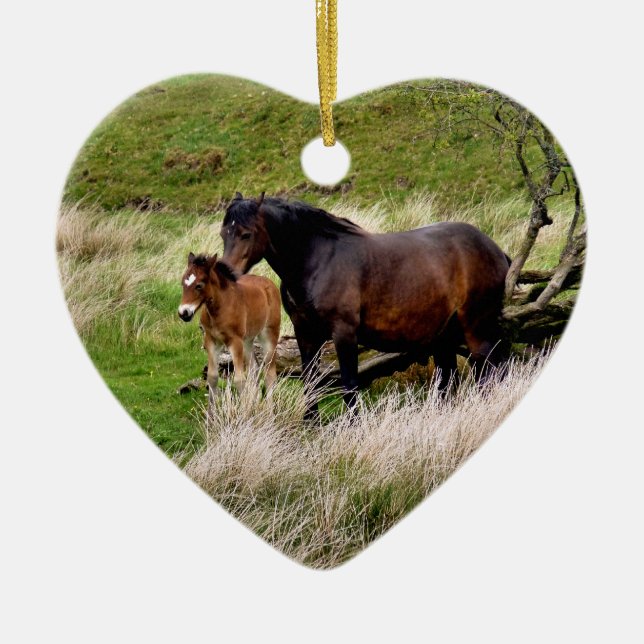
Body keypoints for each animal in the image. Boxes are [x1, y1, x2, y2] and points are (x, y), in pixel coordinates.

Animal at [178, 252, 281, 403]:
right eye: (183, 283)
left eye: (199, 285)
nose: (183, 313)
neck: (220, 308)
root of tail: (269, 283)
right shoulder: (211, 340)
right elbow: (212, 377)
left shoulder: (235, 341)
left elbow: (239, 380)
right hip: (247, 340)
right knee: (254, 369)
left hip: (269, 334)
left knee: (270, 373)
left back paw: (269, 407)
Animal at [220, 192, 510, 417]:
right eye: (224, 233)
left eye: (246, 234)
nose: (226, 271)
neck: (319, 261)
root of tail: (495, 250)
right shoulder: (306, 334)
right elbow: (311, 382)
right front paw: (311, 425)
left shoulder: (344, 333)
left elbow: (349, 383)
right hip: (445, 337)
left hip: (476, 330)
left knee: (488, 370)